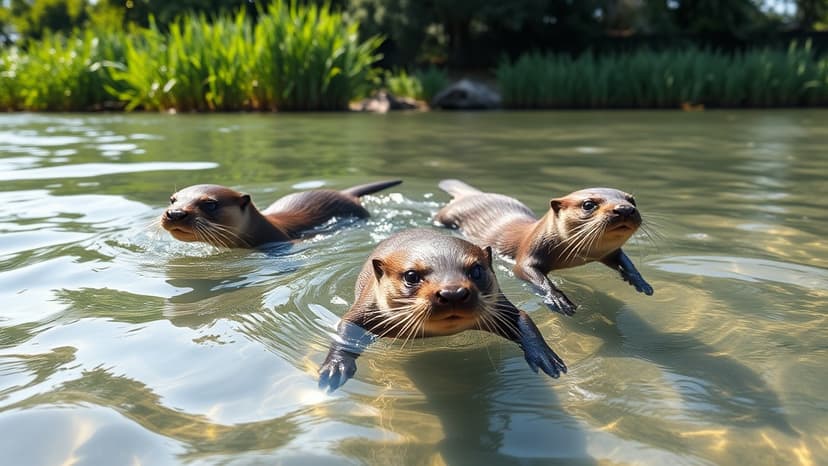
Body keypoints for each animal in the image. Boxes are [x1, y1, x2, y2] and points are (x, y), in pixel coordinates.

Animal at [318, 228, 567, 392]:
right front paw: (335, 367)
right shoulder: (367, 308)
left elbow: (523, 318)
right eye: (411, 275)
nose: (453, 292)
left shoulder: (500, 309)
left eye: (476, 270)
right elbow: (346, 327)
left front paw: (545, 356)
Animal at [435, 179, 653, 315]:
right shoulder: (530, 250)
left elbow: (623, 260)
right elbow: (526, 271)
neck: (575, 257)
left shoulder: (606, 252)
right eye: (588, 204)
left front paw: (641, 283)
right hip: (447, 215)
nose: (625, 209)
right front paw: (557, 299)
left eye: (632, 200)